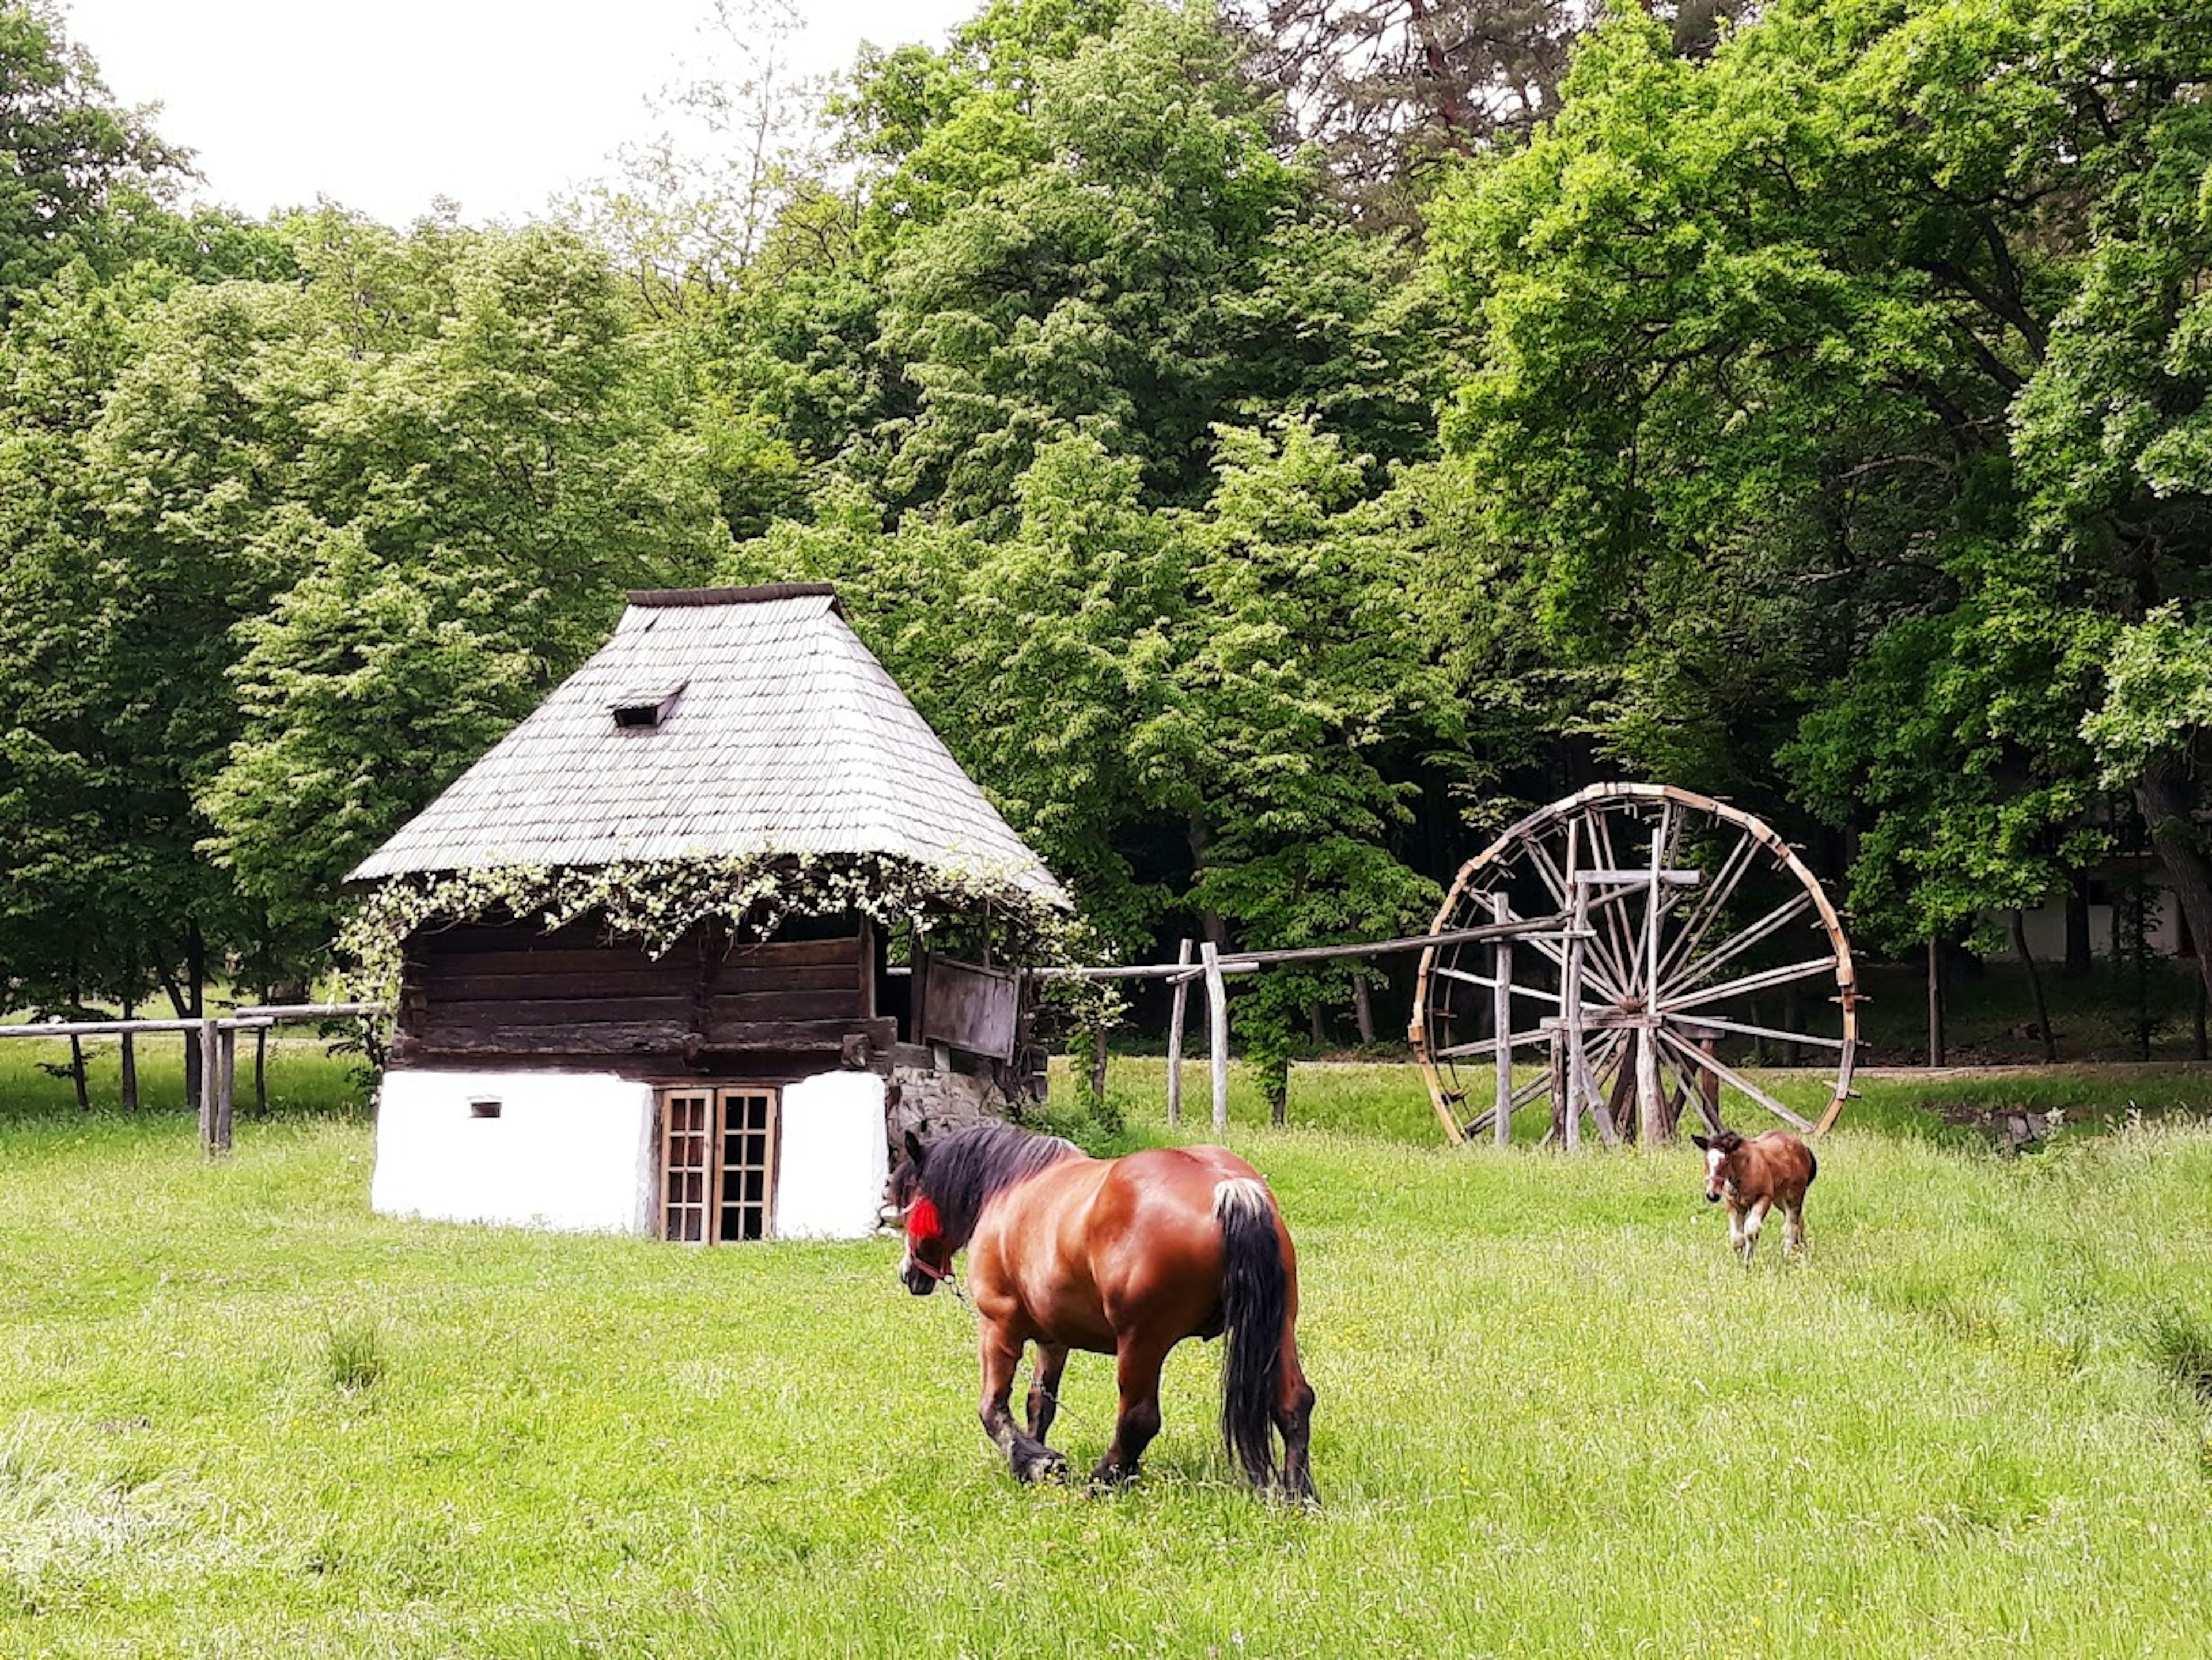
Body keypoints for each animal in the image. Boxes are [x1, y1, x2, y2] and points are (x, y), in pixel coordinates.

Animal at [885, 1124, 1309, 1505]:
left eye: (907, 1201)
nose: (908, 1274)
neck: (1010, 1187)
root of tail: (1228, 1187)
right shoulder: (1052, 1341)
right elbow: (1040, 1404)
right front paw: (1037, 1458)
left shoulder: (998, 1328)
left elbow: (993, 1409)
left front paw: (1036, 1462)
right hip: (1279, 1329)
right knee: (1294, 1402)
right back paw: (1300, 1497)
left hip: (1142, 1342)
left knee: (1139, 1418)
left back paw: (1102, 1481)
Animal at [1690, 1133, 1813, 1275]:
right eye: (1706, 1161)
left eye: (1725, 1162)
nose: (1712, 1195)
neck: (1744, 1170)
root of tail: (1803, 1147)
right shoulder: (1733, 1205)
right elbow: (1737, 1238)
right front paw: (1739, 1263)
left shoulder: (1764, 1197)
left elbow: (1751, 1231)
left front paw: (1747, 1263)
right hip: (1780, 1200)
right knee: (1799, 1222)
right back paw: (1801, 1250)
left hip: (1794, 1197)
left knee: (1791, 1227)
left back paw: (1787, 1257)